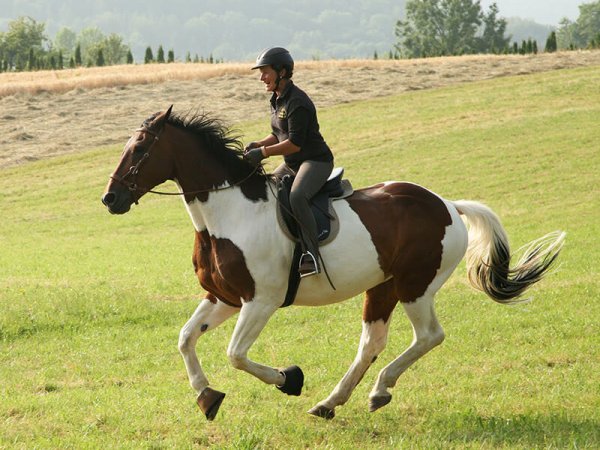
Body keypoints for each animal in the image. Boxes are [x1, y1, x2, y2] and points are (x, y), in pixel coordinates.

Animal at [101, 107, 564, 420]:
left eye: (139, 149)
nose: (110, 199)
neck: (230, 213)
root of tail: (448, 204)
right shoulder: (224, 298)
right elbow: (185, 339)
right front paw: (206, 396)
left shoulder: (261, 301)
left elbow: (235, 354)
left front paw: (290, 379)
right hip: (383, 285)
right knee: (372, 343)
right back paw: (331, 402)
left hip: (415, 286)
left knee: (429, 336)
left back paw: (378, 391)